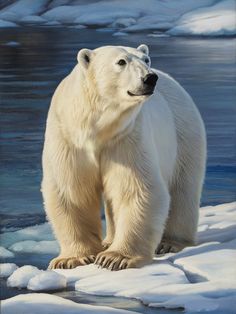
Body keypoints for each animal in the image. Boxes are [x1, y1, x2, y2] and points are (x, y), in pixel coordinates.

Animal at [42, 43, 206, 270]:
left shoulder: (127, 137)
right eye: (121, 61)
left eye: (146, 59)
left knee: (183, 187)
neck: (96, 128)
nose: (150, 78)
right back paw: (108, 240)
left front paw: (115, 258)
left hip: (183, 132)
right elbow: (72, 192)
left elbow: (136, 189)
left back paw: (170, 242)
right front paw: (70, 259)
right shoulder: (68, 139)